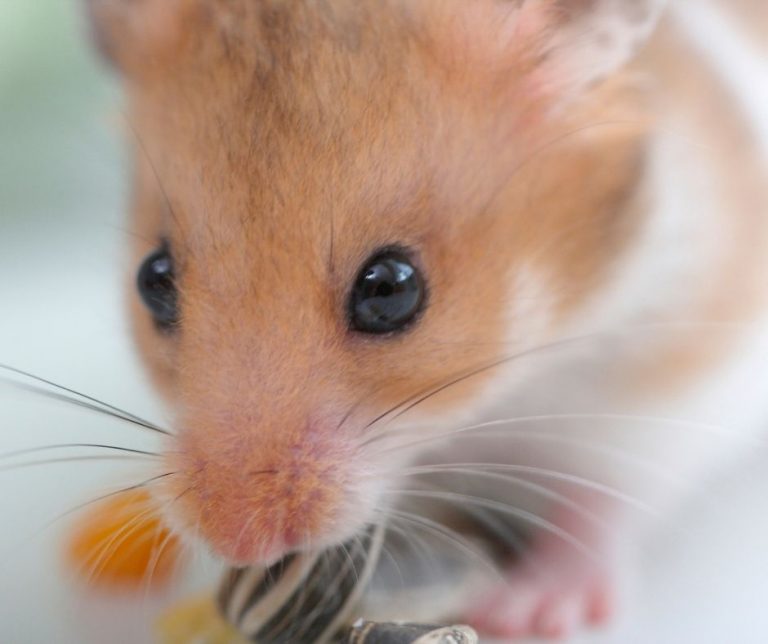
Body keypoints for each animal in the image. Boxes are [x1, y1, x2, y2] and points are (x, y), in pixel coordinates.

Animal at [86, 0, 768, 639]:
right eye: (153, 279)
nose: (239, 542)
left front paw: (524, 611)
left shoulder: (672, 380)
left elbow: (599, 498)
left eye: (390, 289)